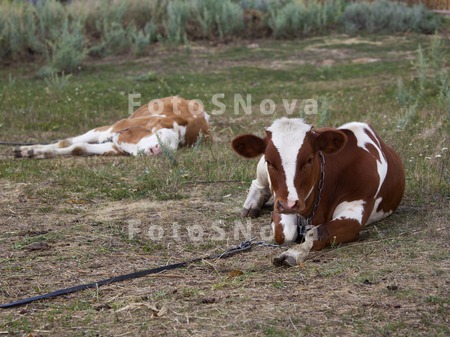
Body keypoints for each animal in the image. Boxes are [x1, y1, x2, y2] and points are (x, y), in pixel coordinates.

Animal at [14, 96, 211, 159]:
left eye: (173, 147)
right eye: (159, 134)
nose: (158, 150)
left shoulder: (113, 146)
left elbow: (78, 148)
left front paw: (35, 152)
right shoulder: (108, 129)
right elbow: (67, 142)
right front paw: (30, 149)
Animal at [234, 117, 406, 266]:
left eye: (309, 159)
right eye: (270, 161)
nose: (289, 204)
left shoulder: (357, 208)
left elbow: (317, 232)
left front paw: (294, 253)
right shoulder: (281, 202)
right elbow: (285, 233)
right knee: (258, 184)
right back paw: (251, 205)